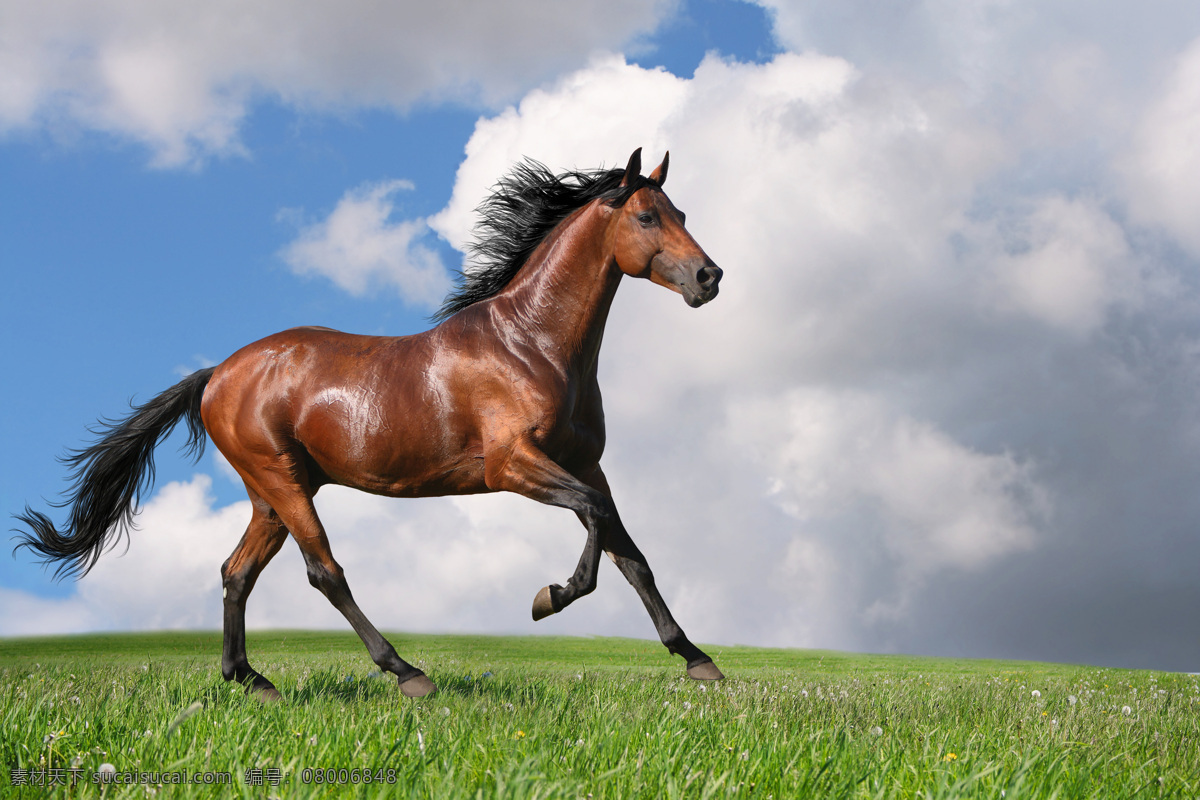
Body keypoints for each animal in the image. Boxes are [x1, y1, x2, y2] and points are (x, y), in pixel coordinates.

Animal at [14, 146, 724, 695]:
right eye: (646, 215)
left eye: (682, 213)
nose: (709, 276)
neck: (532, 343)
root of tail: (216, 374)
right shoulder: (513, 465)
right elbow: (598, 527)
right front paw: (548, 598)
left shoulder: (585, 464)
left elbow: (631, 553)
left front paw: (697, 660)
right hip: (281, 482)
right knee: (323, 570)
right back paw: (406, 672)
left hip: (272, 493)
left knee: (236, 572)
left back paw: (252, 680)